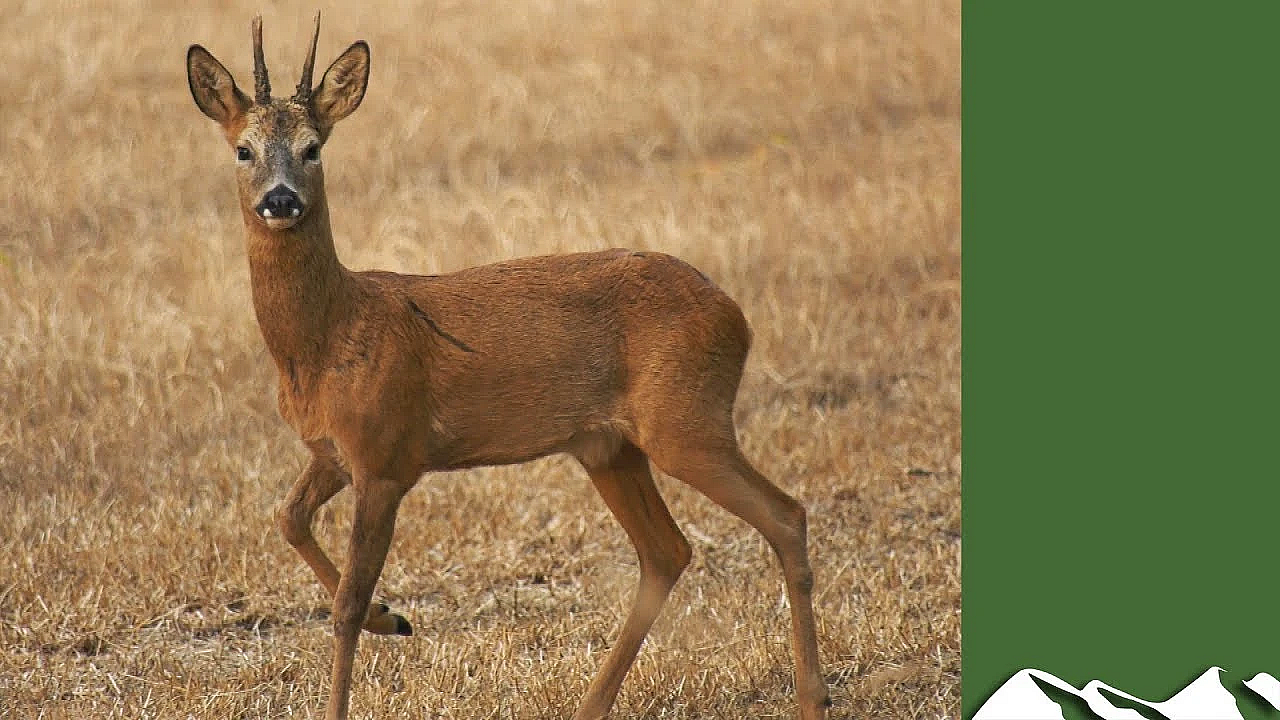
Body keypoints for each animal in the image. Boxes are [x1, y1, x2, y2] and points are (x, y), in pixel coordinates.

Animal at [185, 14, 829, 720]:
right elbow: (288, 518)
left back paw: (812, 697)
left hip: (686, 420)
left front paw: (374, 626)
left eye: (312, 149)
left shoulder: (386, 458)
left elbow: (345, 606)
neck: (325, 340)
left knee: (784, 515)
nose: (280, 201)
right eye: (243, 150)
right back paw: (591, 704)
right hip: (609, 446)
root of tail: (736, 315)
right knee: (667, 550)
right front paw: (395, 616)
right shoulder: (336, 452)